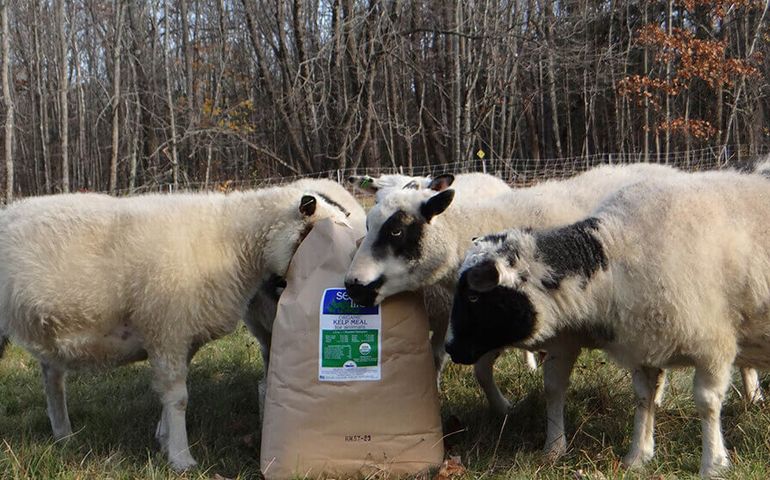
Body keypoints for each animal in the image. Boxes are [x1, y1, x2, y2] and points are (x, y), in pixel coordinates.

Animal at [0, 186, 352, 470]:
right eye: (321, 235)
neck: (231, 241)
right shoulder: (166, 328)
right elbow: (178, 397)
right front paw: (181, 458)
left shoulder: (181, 336)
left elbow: (170, 395)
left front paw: (164, 439)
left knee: (52, 379)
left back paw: (64, 435)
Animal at [444, 170, 768, 476]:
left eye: (473, 296)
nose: (449, 347)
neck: (614, 254)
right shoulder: (644, 345)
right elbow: (644, 399)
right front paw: (638, 457)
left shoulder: (712, 345)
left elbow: (707, 402)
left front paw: (713, 464)